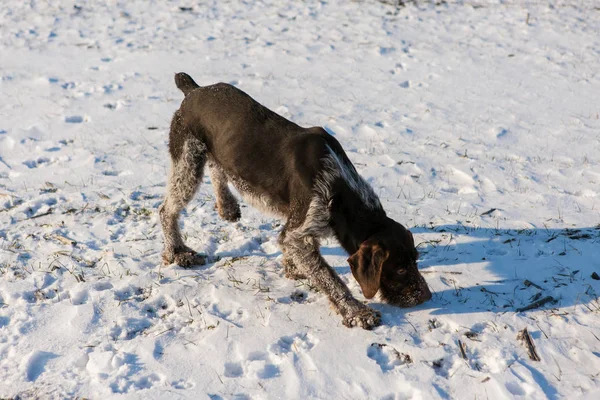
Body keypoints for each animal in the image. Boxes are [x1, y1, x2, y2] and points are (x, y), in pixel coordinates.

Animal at [159, 73, 432, 330]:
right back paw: (178, 252)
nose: (426, 297)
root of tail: (193, 90)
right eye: (399, 268)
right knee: (166, 210)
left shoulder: (299, 227)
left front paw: (293, 268)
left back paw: (227, 206)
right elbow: (330, 279)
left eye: (416, 259)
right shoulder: (302, 227)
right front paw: (357, 312)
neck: (341, 188)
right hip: (187, 162)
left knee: (217, 169)